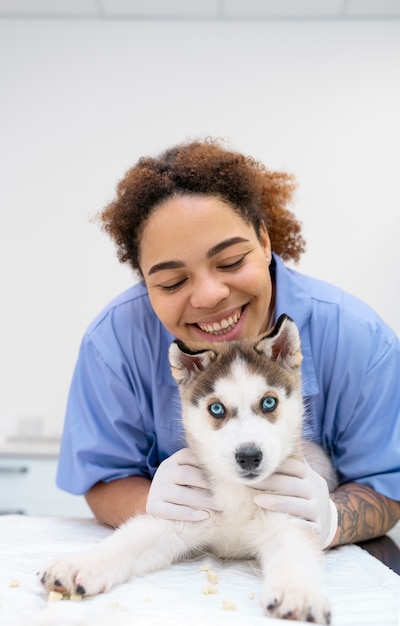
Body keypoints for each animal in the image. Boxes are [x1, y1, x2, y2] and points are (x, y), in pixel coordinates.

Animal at [40, 314, 334, 620]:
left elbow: (295, 555)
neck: (237, 494)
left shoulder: (289, 522)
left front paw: (299, 594)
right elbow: (126, 541)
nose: (249, 456)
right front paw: (79, 565)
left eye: (269, 402)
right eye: (216, 409)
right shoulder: (179, 516)